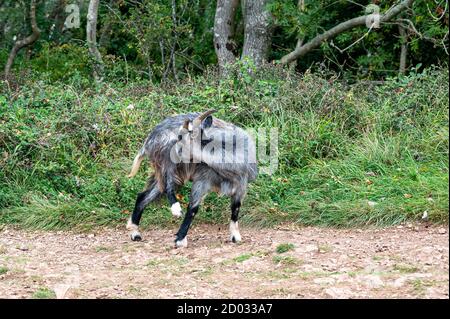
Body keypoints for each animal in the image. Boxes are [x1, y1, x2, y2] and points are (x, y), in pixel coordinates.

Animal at [126, 111, 258, 249]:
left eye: (180, 137)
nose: (173, 151)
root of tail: (149, 139)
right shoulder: (202, 180)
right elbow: (192, 209)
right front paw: (180, 239)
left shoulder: (241, 185)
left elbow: (236, 208)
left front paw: (235, 236)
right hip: (166, 163)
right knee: (167, 183)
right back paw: (175, 209)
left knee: (144, 195)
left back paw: (135, 231)